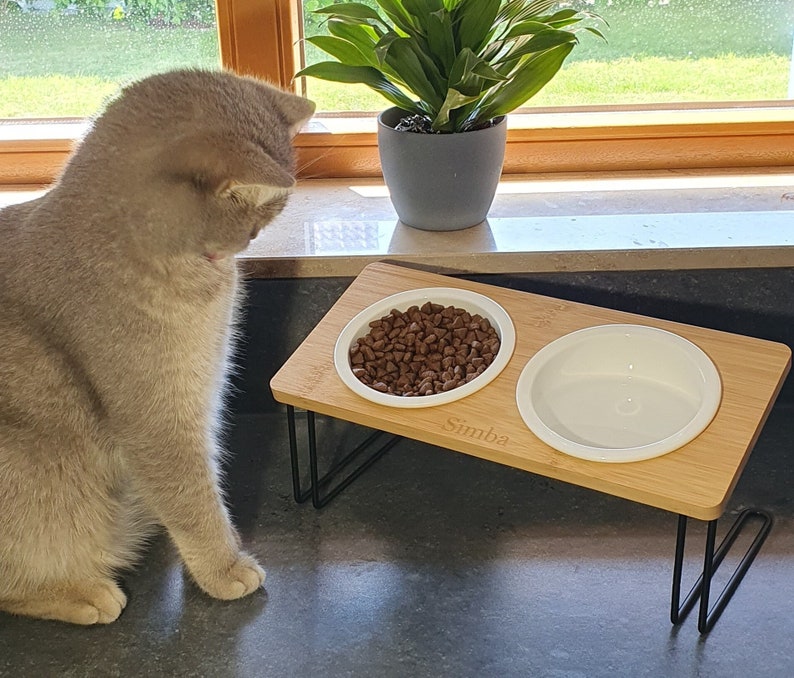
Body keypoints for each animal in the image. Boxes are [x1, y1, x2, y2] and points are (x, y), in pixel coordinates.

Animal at [0, 69, 316, 628]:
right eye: (254, 218)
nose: (250, 241)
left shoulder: (203, 396)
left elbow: (204, 482)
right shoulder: (159, 422)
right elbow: (192, 499)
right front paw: (224, 567)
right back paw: (84, 593)